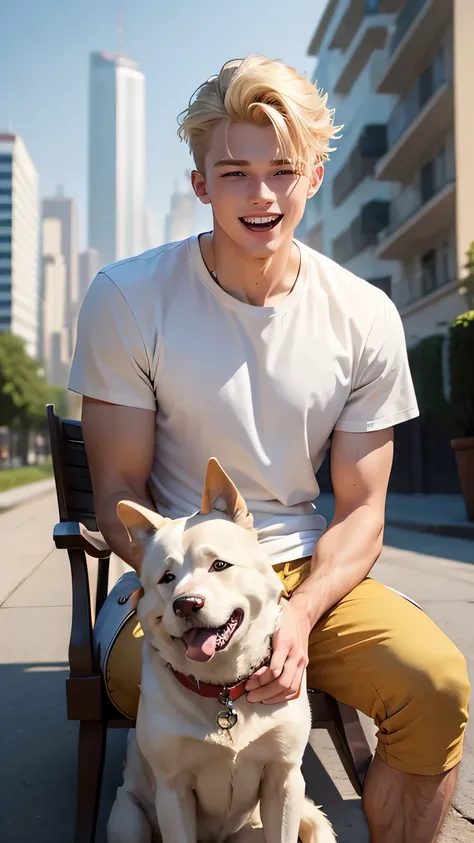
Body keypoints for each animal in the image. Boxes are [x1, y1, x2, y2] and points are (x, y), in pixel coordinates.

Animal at [109, 462, 336, 843]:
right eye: (167, 577)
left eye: (219, 565)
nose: (186, 604)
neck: (223, 688)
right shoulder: (173, 790)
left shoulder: (284, 778)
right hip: (128, 818)